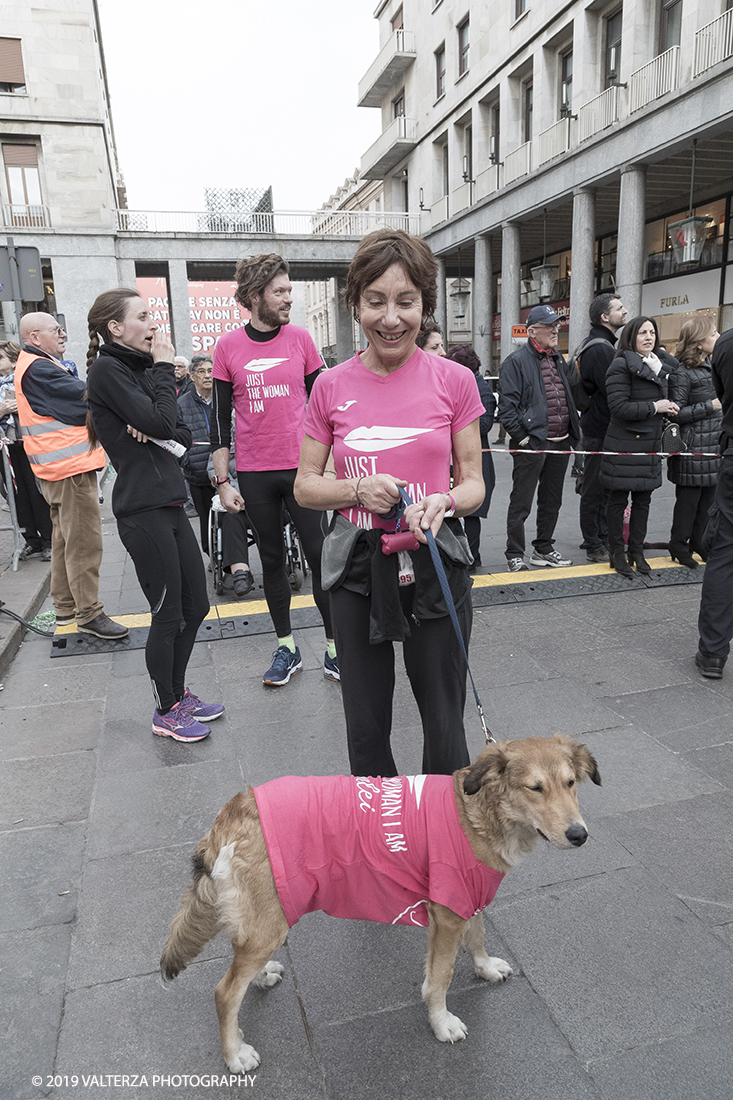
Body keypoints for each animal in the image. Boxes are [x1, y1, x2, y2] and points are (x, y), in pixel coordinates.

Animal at [161, 734, 598, 1069]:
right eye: (535, 788)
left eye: (570, 783)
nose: (579, 835)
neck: (476, 812)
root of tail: (231, 811)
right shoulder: (448, 914)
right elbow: (439, 979)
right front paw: (441, 1022)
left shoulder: (465, 896)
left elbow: (478, 936)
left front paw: (486, 967)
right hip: (269, 924)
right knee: (225, 992)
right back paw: (234, 1054)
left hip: (266, 920)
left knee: (240, 959)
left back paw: (261, 975)